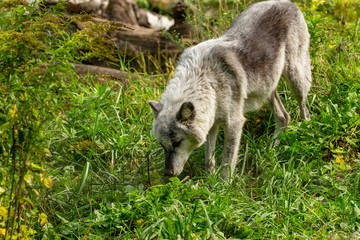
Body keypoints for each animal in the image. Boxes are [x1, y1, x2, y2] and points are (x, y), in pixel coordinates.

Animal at [148, 0, 310, 180]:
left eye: (177, 142)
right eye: (162, 144)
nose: (168, 173)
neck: (206, 79)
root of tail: (287, 3)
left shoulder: (234, 123)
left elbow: (227, 160)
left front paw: (224, 184)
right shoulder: (211, 124)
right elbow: (209, 159)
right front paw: (209, 180)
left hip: (295, 79)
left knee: (304, 110)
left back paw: (306, 133)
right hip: (267, 89)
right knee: (284, 117)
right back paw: (271, 149)